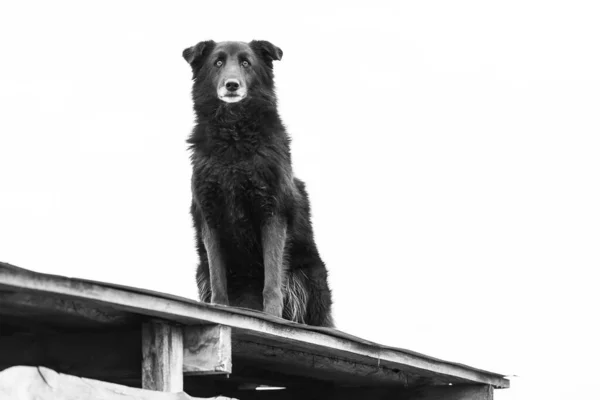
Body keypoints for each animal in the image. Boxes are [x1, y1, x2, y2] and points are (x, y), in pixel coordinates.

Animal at [183, 39, 332, 328]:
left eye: (246, 63)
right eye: (218, 62)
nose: (231, 85)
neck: (233, 139)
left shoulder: (272, 213)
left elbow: (272, 281)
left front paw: (272, 317)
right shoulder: (210, 218)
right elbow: (219, 279)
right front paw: (220, 309)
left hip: (310, 276)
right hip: (200, 270)